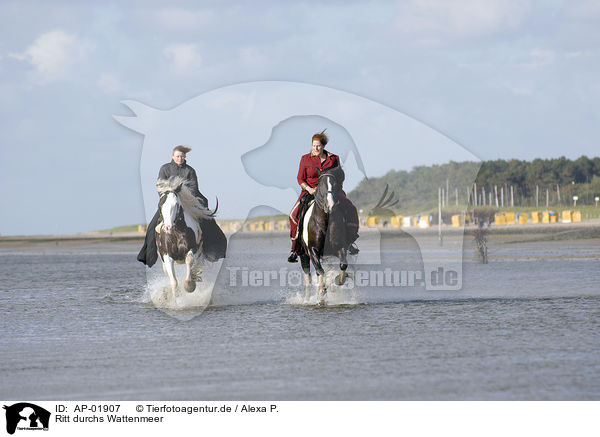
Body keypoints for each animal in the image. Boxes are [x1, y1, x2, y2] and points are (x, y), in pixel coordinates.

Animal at [298, 165, 350, 302]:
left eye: (335, 185)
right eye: (320, 185)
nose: (330, 206)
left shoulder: (339, 247)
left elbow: (343, 265)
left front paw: (336, 281)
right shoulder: (312, 250)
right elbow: (320, 270)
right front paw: (321, 290)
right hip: (303, 254)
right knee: (308, 277)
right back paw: (307, 299)